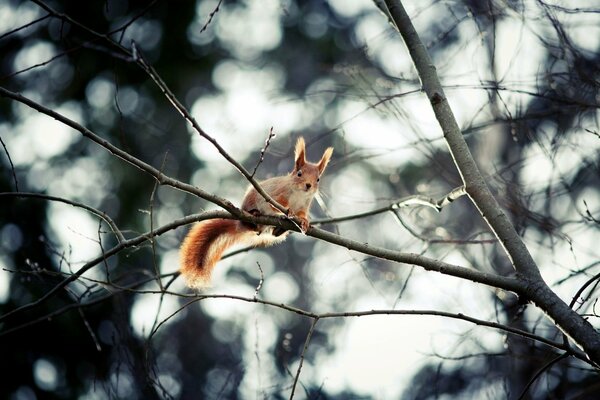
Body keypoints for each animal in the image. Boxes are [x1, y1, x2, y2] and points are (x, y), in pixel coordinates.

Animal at [180, 138, 336, 288]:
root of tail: (241, 225)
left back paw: (279, 229)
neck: (299, 194)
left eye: (318, 179)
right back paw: (255, 214)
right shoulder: (276, 194)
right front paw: (288, 211)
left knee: (273, 233)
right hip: (250, 202)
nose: (308, 185)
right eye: (299, 174)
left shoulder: (304, 205)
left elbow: (302, 214)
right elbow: (277, 204)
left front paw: (304, 222)